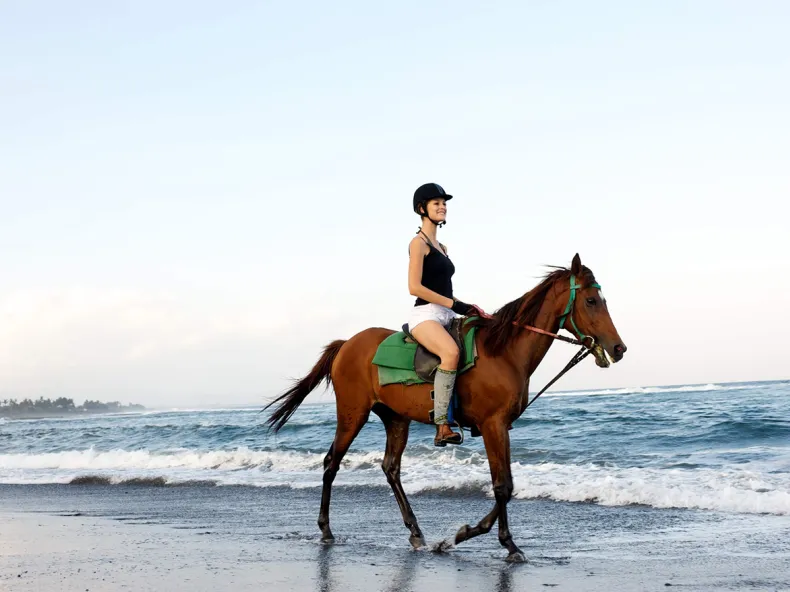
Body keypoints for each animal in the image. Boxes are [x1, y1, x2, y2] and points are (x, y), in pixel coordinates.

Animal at [264, 252, 624, 560]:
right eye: (591, 301)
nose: (619, 348)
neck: (504, 351)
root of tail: (346, 344)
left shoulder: (501, 426)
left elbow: (506, 484)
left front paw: (463, 535)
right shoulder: (493, 425)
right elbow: (502, 486)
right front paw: (499, 542)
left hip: (396, 419)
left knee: (391, 468)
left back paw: (415, 532)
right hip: (352, 414)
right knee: (331, 463)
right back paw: (326, 530)